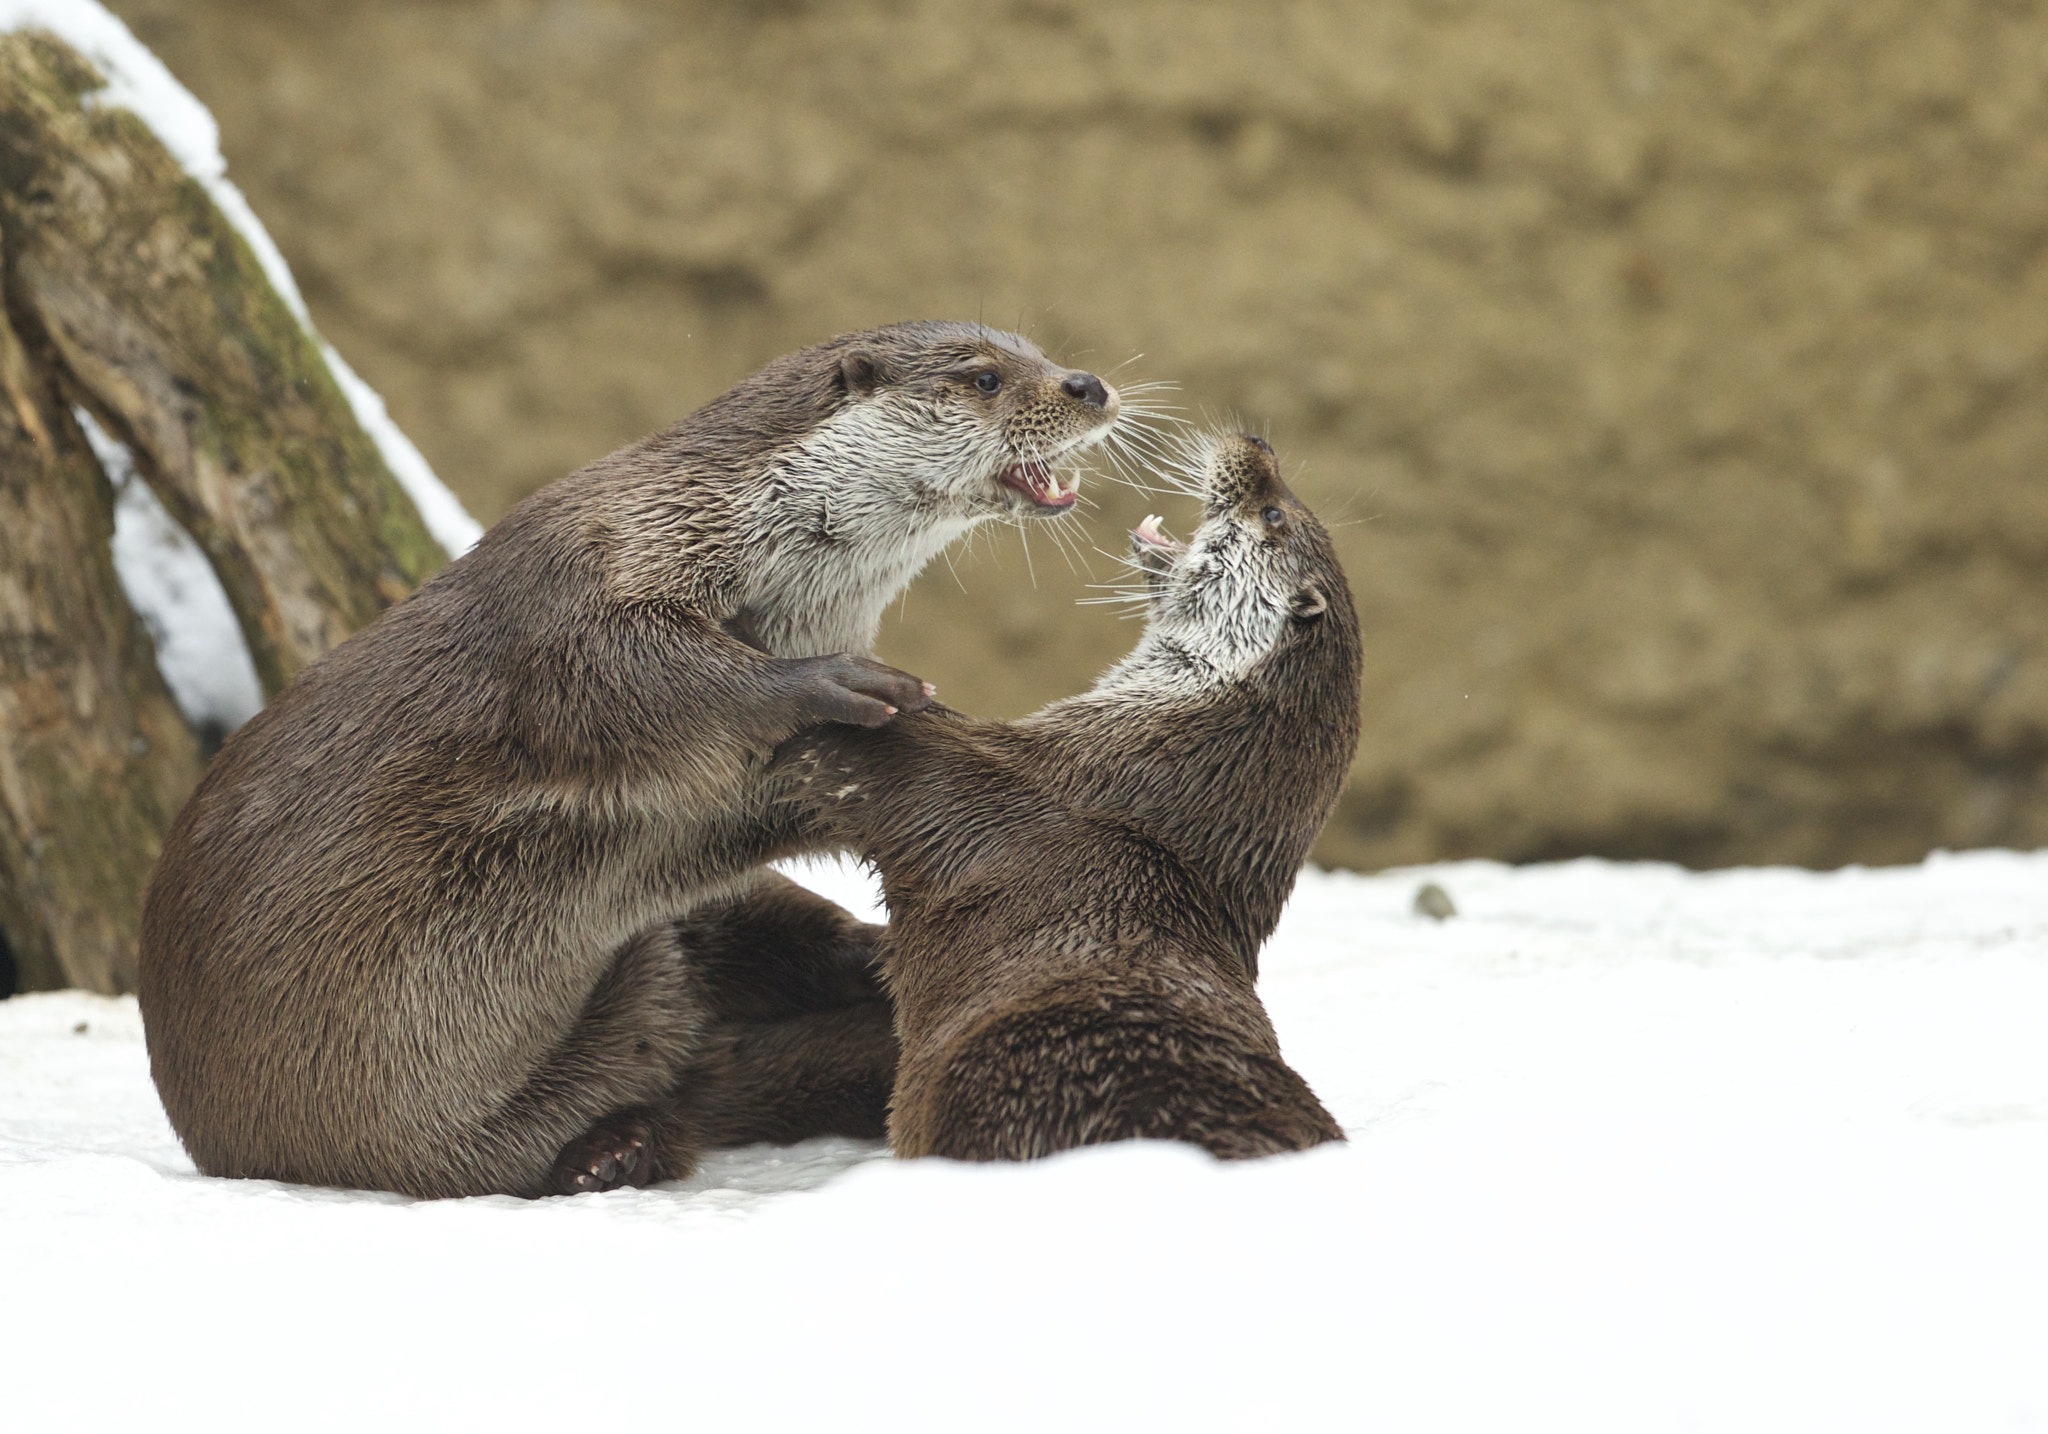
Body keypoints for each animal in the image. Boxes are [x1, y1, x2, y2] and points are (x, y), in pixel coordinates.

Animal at [136, 321, 1130, 1196]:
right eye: (986, 378)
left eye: (1041, 352)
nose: (1088, 385)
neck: (735, 537)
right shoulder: (581, 588)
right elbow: (638, 673)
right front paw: (837, 679)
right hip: (419, 1139)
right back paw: (607, 1153)